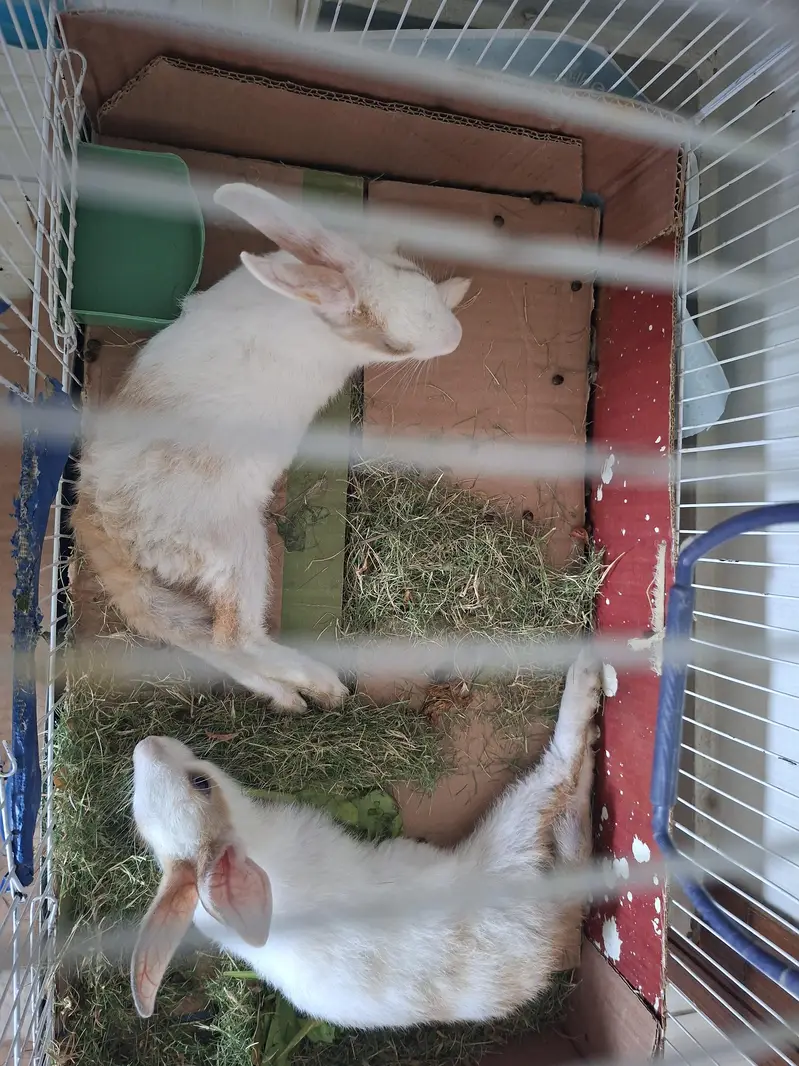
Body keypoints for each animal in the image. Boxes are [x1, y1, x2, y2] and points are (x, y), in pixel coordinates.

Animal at [72, 182, 471, 713]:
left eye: (415, 275)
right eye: (394, 346)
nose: (456, 338)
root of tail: (99, 525)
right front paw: (463, 285)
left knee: (206, 642)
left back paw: (289, 698)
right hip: (235, 550)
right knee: (234, 639)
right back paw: (324, 687)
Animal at [130, 651, 600, 1027]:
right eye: (201, 784)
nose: (145, 743)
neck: (253, 841)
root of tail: (550, 942)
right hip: (512, 835)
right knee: (562, 784)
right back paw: (586, 683)